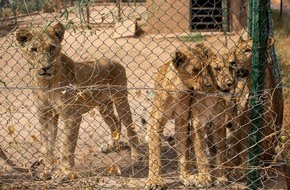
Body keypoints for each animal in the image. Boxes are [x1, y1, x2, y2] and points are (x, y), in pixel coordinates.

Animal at [15, 22, 143, 181]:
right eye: (34, 49)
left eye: (52, 48)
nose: (45, 67)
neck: (46, 84)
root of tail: (115, 61)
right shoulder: (45, 115)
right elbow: (47, 146)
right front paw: (47, 171)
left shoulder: (72, 116)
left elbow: (66, 147)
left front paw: (64, 173)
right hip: (103, 106)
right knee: (115, 122)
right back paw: (110, 145)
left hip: (121, 99)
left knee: (129, 125)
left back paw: (137, 154)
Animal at [147, 45, 233, 189]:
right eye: (195, 70)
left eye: (207, 69)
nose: (230, 83)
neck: (179, 91)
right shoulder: (158, 121)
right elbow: (155, 154)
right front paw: (155, 180)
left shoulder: (188, 122)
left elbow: (188, 153)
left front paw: (187, 177)